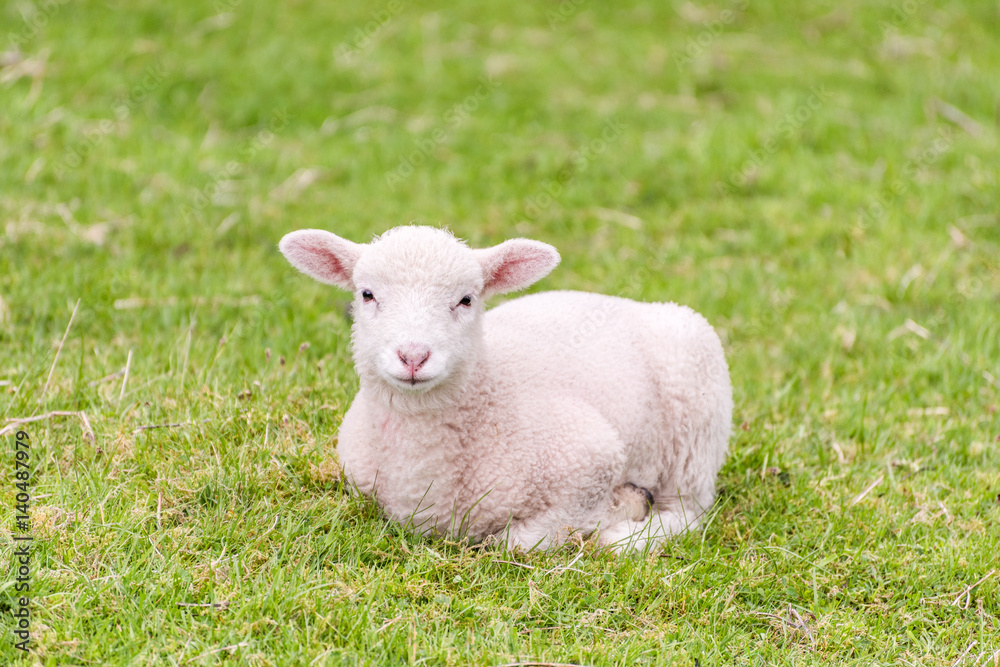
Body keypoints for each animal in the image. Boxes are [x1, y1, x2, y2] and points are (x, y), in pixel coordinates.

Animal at [282, 227, 736, 552]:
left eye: (466, 299)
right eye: (367, 294)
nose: (413, 355)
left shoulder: (591, 456)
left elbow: (518, 543)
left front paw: (612, 514)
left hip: (696, 429)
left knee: (689, 513)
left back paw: (626, 536)